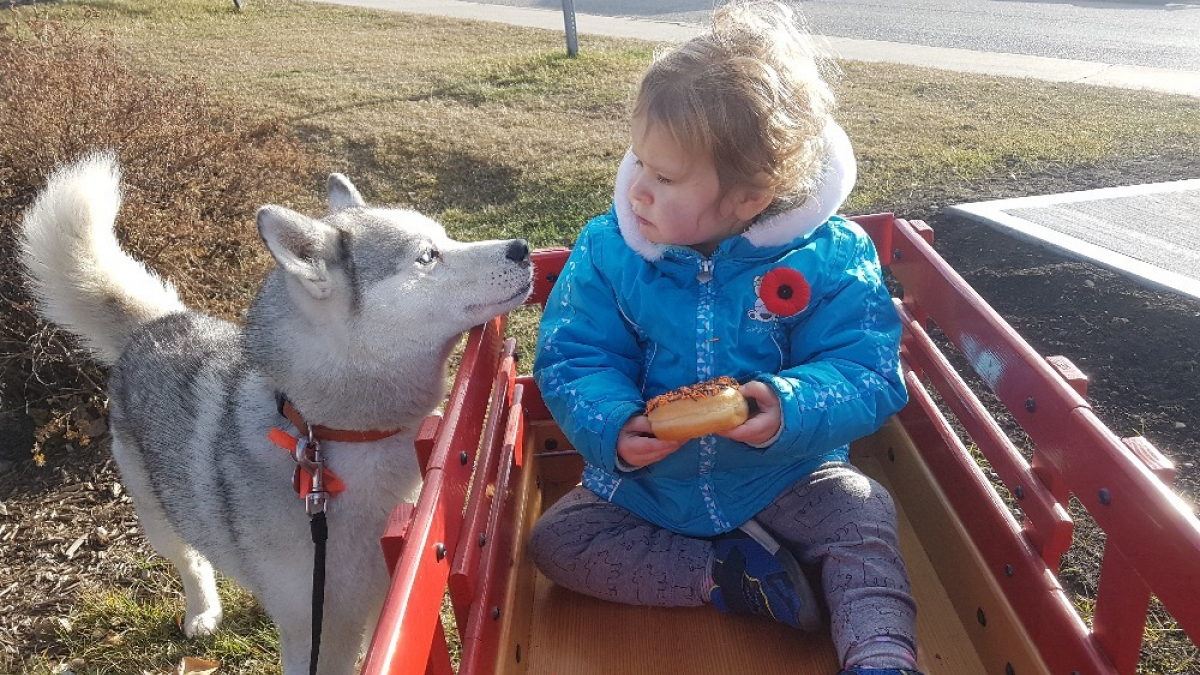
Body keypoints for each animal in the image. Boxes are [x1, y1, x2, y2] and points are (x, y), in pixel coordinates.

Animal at [17, 153, 535, 672]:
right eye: (428, 255)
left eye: (447, 237)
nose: (523, 248)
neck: (334, 435)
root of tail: (158, 323)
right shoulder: (315, 629)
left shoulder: (382, 600)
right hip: (158, 514)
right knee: (190, 558)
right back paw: (201, 610)